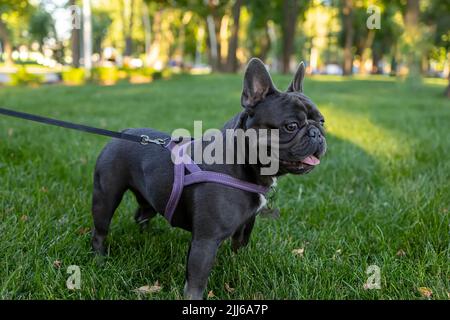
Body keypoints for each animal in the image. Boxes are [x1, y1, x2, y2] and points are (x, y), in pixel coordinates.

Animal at [90, 58, 326, 300]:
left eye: (322, 121)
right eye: (291, 126)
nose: (317, 133)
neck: (242, 163)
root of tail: (123, 132)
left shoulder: (246, 224)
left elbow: (239, 247)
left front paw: (239, 266)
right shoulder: (206, 240)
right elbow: (197, 280)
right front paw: (193, 298)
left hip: (149, 197)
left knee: (142, 214)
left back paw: (147, 237)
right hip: (106, 196)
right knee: (100, 230)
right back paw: (100, 259)